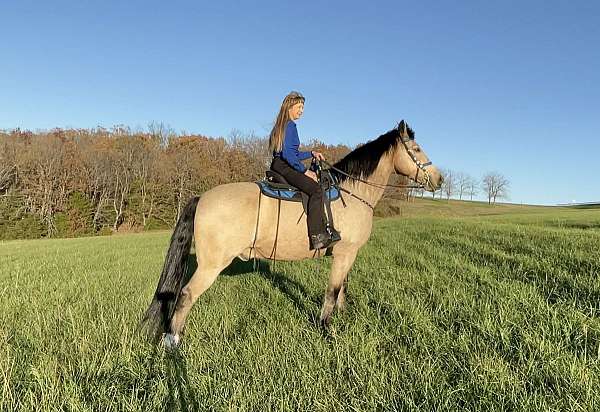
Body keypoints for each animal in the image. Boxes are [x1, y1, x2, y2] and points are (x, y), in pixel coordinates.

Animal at [143, 120, 442, 348]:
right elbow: (332, 291)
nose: (439, 180)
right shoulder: (344, 253)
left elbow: (343, 287)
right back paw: (172, 341)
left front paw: (344, 316)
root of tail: (202, 197)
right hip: (211, 266)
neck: (353, 192)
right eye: (416, 148)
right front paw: (327, 329)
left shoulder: (348, 253)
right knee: (186, 295)